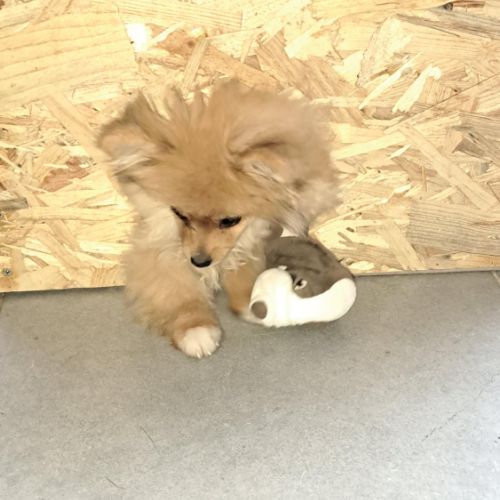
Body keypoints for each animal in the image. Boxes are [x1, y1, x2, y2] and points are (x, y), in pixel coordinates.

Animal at [98, 80, 336, 358]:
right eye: (179, 214)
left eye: (229, 221)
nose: (199, 261)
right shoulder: (159, 248)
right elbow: (176, 289)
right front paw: (195, 328)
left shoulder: (256, 240)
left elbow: (246, 270)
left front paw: (253, 301)